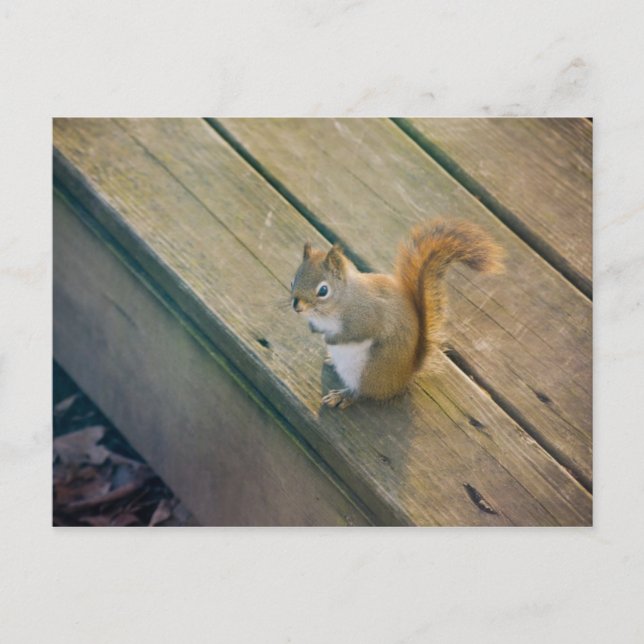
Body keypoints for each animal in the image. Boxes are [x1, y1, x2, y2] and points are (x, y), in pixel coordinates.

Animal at [290, 219, 503, 409]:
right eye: (293, 280)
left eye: (323, 291)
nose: (296, 307)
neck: (338, 302)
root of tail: (405, 376)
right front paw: (314, 329)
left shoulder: (366, 316)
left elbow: (354, 333)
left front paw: (331, 339)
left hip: (370, 371)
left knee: (363, 393)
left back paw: (343, 395)